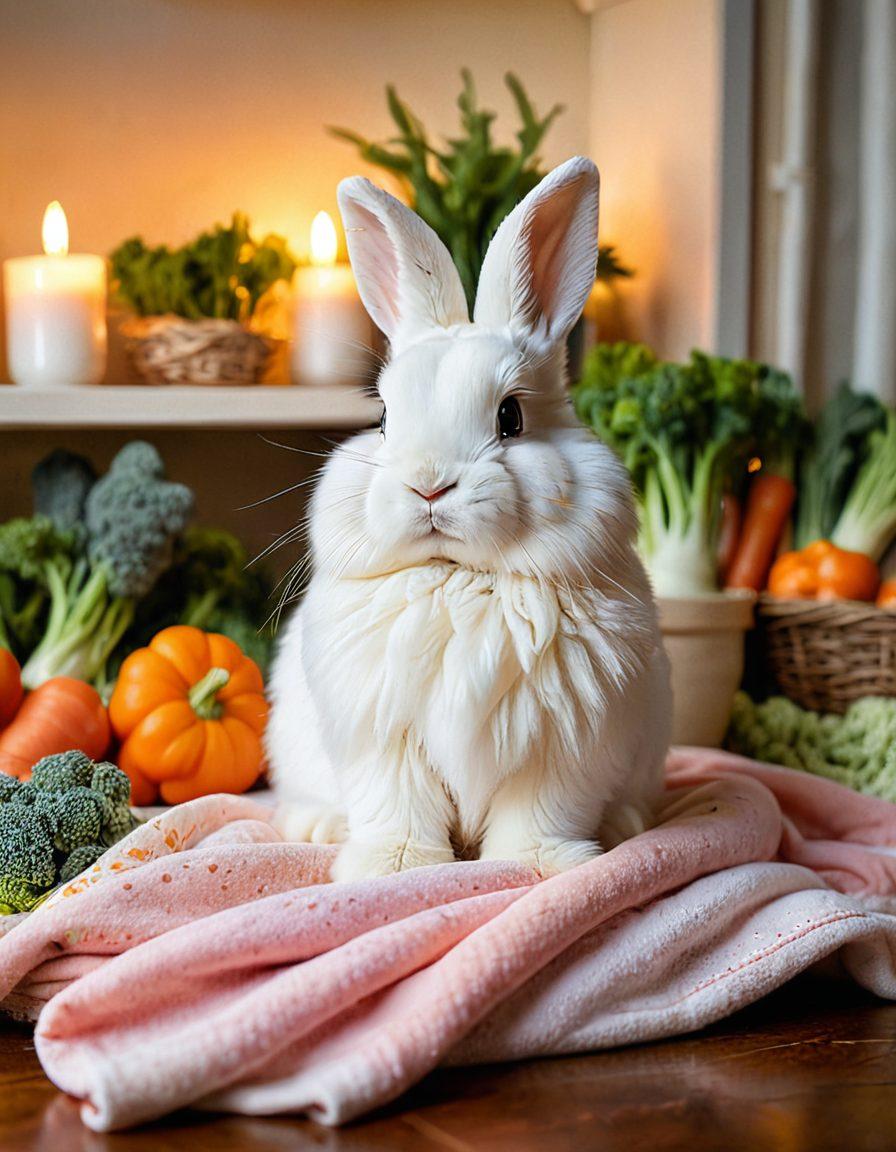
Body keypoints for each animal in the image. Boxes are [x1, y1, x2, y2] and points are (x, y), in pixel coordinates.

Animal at [267, 156, 672, 882]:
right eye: (385, 418)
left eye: (511, 417)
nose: (429, 484)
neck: (460, 579)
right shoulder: (385, 740)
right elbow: (398, 805)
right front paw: (394, 866)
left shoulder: (563, 742)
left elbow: (539, 811)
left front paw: (541, 864)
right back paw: (318, 827)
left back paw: (626, 825)